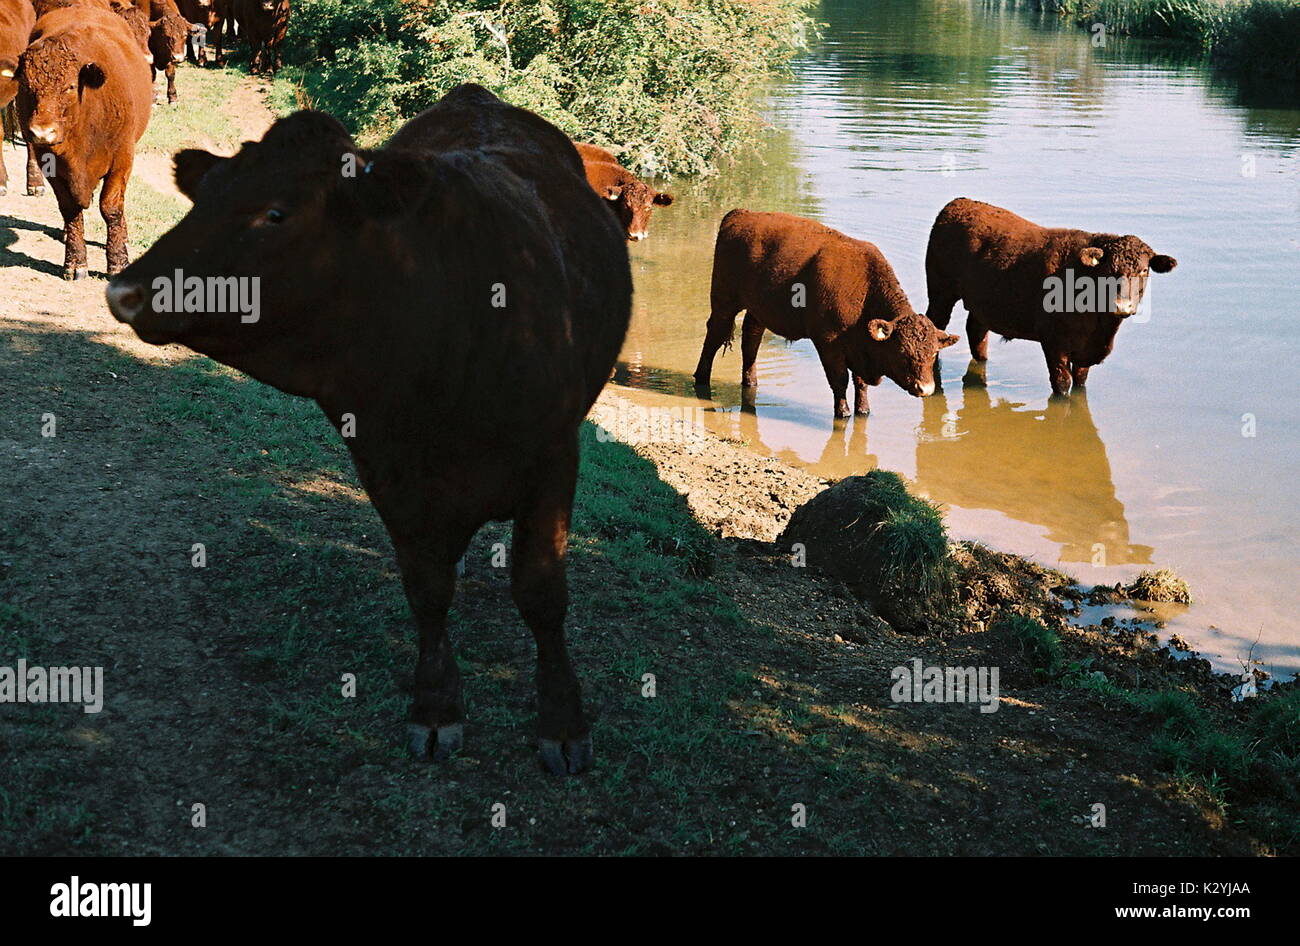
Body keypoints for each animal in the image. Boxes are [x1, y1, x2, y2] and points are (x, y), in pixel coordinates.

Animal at [17, 8, 152, 280]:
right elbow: (70, 210)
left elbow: (111, 208)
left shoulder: (122, 161)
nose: (42, 132)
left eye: (69, 87)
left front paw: (118, 262)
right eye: (27, 86)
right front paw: (75, 262)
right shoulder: (52, 167)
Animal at [104, 83, 631, 774]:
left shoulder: (553, 454)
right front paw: (435, 707)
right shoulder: (385, 466)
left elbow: (542, 592)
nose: (126, 289)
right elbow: (427, 589)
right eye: (206, 192)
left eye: (277, 213)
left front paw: (563, 723)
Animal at [696, 210, 961, 418]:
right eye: (903, 352)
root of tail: (739, 214)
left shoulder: (859, 347)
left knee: (751, 340)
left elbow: (860, 383)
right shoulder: (828, 343)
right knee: (715, 335)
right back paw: (701, 377)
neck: (864, 290)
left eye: (933, 353)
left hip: (757, 310)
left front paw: (864, 410)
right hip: (724, 302)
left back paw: (750, 382)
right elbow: (840, 380)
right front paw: (842, 413)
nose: (925, 388)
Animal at [925, 196, 1180, 395]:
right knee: (936, 323)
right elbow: (1062, 384)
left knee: (977, 332)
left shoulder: (1084, 352)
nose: (1122, 306)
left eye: (1144, 270)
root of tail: (959, 203)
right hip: (940, 292)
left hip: (981, 303)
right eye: (1109, 270)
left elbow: (1080, 381)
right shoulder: (1054, 342)